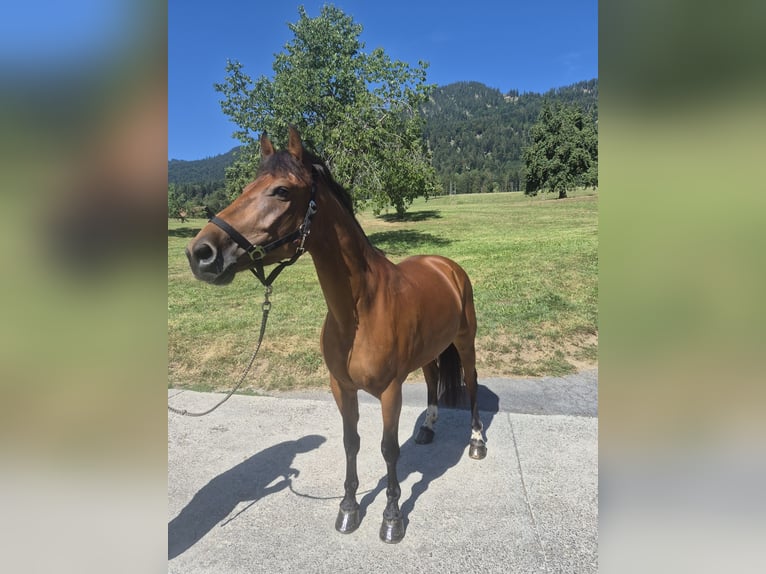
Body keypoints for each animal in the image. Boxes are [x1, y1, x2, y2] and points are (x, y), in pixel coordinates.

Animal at [185, 127, 486, 543]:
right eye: (245, 187)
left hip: (465, 341)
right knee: (432, 379)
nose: (201, 253)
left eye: (281, 190)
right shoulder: (341, 387)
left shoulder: (389, 391)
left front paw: (392, 518)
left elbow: (388, 449)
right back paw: (427, 428)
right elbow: (351, 443)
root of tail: (447, 267)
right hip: (429, 352)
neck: (360, 310)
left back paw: (476, 441)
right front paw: (348, 508)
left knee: (471, 384)